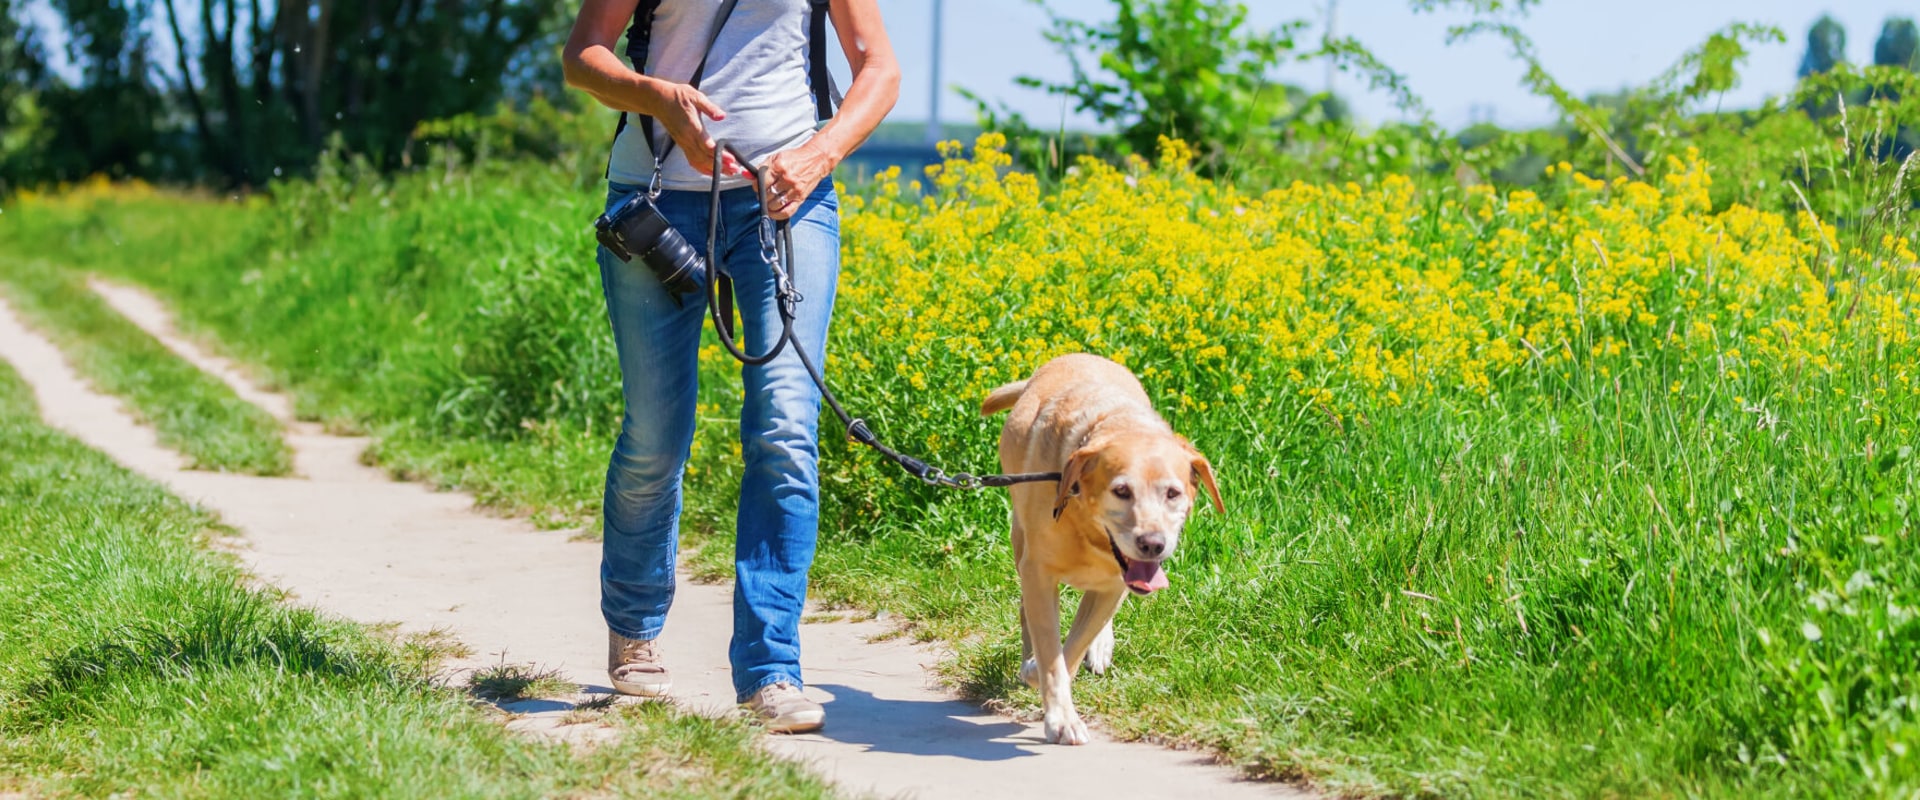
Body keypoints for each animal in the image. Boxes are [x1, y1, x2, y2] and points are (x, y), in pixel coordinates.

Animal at [983, 352, 1221, 740]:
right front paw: (1060, 716)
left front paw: (1058, 676)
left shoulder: (1113, 585)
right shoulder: (1039, 575)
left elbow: (1072, 648)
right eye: (1121, 491)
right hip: (1020, 542)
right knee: (1025, 611)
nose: (1152, 544)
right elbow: (1051, 652)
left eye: (1173, 493)